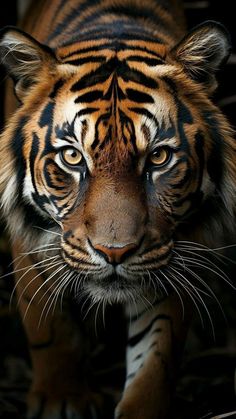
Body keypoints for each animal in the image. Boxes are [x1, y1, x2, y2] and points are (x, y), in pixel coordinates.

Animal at [0, 0, 235, 418]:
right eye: (73, 157)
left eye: (158, 157)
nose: (115, 252)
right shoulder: (29, 239)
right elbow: (49, 326)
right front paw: (62, 400)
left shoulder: (172, 252)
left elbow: (156, 358)